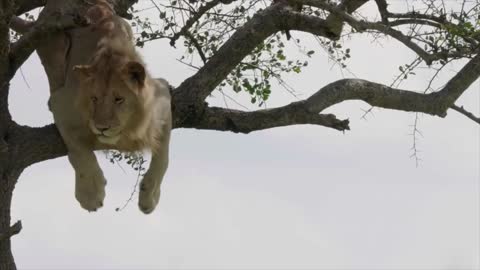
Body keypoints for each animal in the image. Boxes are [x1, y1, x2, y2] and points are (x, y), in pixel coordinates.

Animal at [11, 1, 172, 214]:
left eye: (118, 99)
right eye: (94, 98)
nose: (101, 127)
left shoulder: (162, 93)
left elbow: (164, 154)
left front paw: (149, 196)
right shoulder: (62, 102)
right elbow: (78, 151)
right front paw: (90, 194)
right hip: (54, 45)